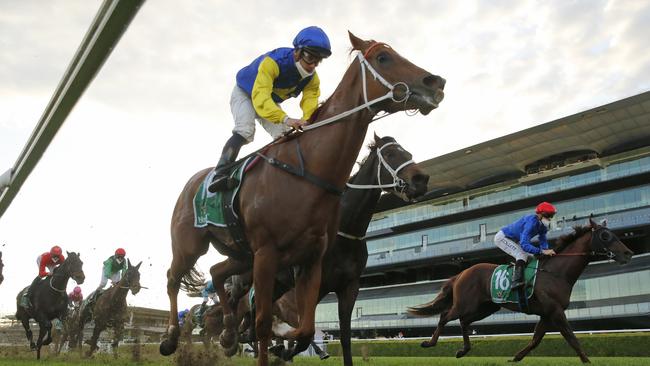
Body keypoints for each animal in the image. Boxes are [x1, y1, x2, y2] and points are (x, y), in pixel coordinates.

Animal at [161, 32, 446, 366]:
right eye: (383, 58)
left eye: (406, 152)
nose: (436, 82)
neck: (308, 172)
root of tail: (192, 182)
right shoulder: (268, 256)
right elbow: (264, 325)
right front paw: (273, 342)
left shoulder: (315, 264)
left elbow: (313, 331)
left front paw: (281, 343)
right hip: (190, 246)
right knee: (173, 278)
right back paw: (171, 337)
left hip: (240, 253)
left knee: (218, 273)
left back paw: (229, 333)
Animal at [408, 217, 632, 364]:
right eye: (605, 235)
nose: (628, 253)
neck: (556, 273)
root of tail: (461, 273)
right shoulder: (556, 311)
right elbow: (571, 337)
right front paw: (586, 360)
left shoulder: (547, 314)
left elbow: (535, 340)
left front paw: (515, 357)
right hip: (466, 303)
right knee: (445, 316)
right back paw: (429, 343)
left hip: (485, 308)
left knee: (464, 322)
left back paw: (464, 350)